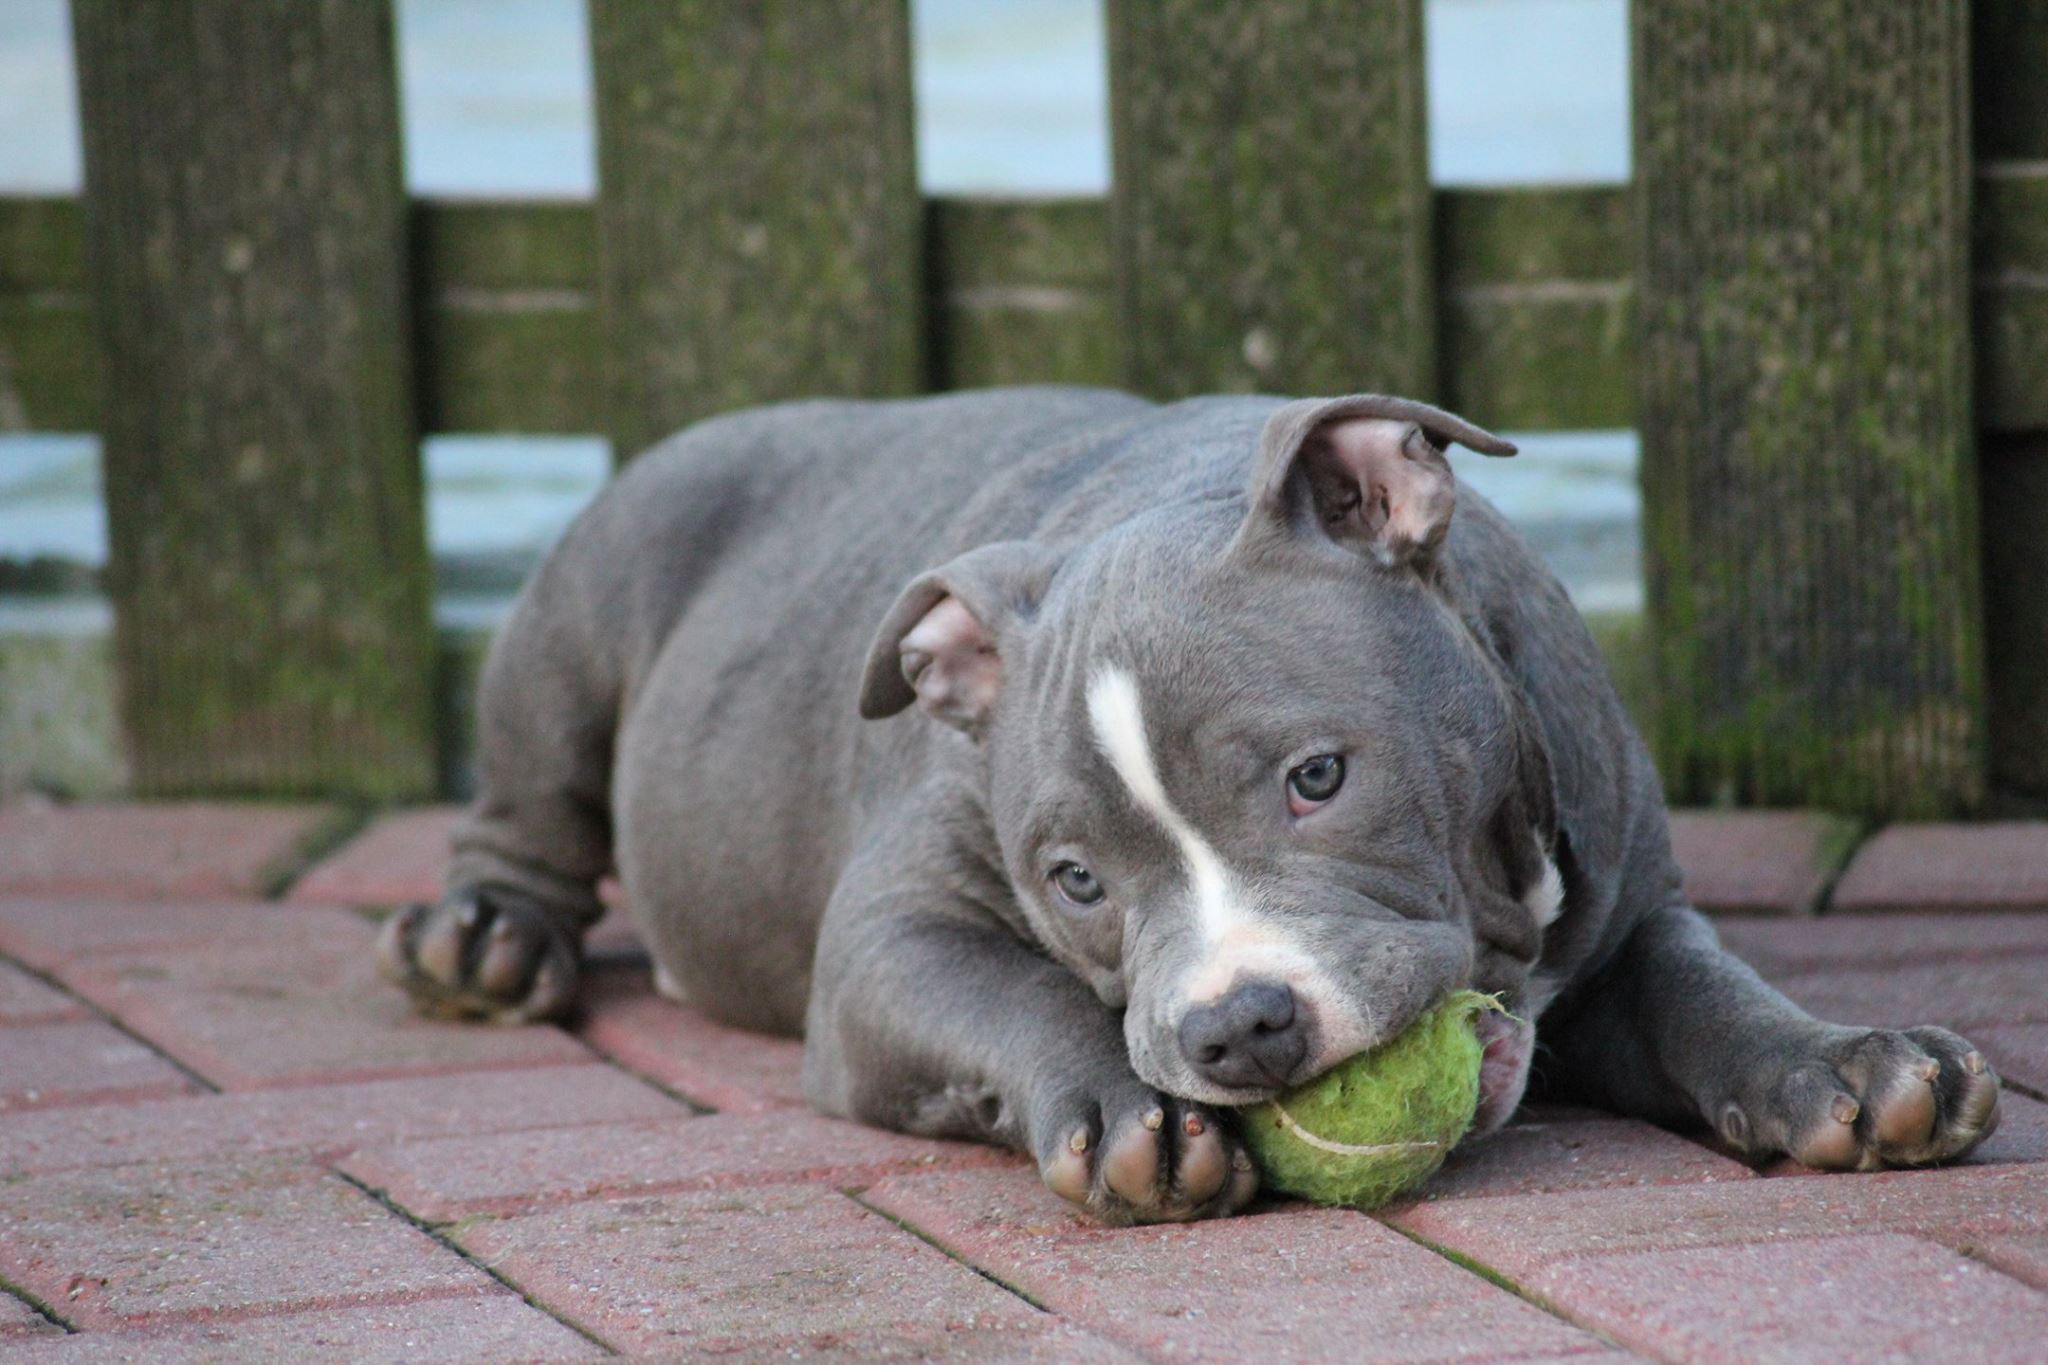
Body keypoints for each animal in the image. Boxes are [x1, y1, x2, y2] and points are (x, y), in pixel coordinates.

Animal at [380, 386, 1998, 1227]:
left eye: (1318, 777)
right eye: (1075, 881)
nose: (1237, 1029)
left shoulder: (1629, 902)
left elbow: (1700, 991)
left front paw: (1847, 1067)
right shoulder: (886, 951)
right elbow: (1022, 996)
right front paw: (1125, 1110)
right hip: (572, 620)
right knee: (521, 816)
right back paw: (482, 945)